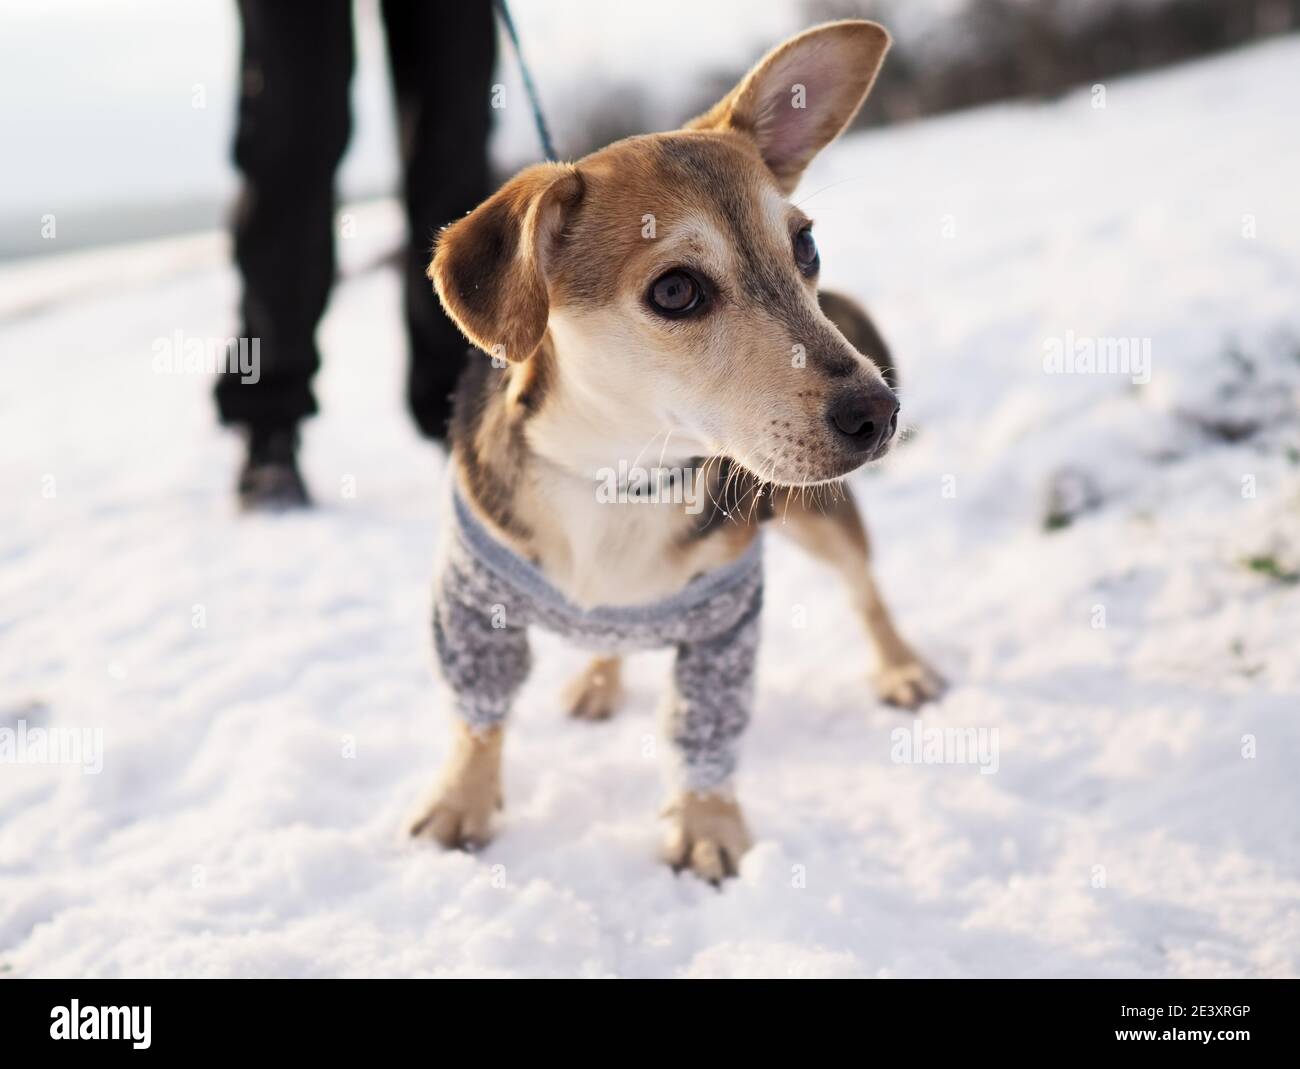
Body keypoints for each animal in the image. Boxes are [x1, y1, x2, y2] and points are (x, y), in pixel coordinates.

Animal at [413, 20, 946, 884]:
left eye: (805, 245)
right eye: (674, 291)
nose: (879, 411)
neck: (622, 478)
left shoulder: (724, 621)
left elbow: (704, 732)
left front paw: (708, 824)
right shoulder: (471, 601)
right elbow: (477, 716)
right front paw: (460, 802)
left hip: (818, 515)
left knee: (865, 589)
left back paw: (901, 666)